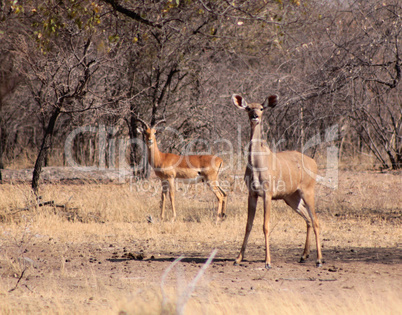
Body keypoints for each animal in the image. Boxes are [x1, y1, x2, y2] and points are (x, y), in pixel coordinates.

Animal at [231, 94, 322, 270]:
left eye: (261, 108)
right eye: (248, 108)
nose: (255, 116)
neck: (257, 164)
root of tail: (313, 163)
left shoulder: (267, 194)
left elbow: (265, 226)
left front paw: (268, 262)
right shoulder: (252, 194)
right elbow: (248, 225)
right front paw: (238, 259)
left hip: (308, 192)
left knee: (315, 221)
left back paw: (319, 260)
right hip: (291, 198)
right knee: (308, 219)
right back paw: (303, 256)